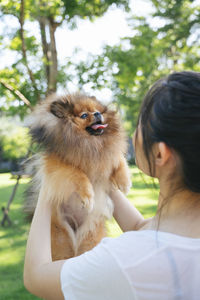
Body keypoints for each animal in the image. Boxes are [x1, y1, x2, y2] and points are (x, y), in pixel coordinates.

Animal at [25, 93, 131, 260]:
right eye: (84, 115)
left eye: (96, 110)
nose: (98, 114)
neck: (89, 142)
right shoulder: (56, 164)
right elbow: (77, 174)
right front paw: (88, 196)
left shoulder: (107, 154)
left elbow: (118, 159)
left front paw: (124, 182)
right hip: (60, 240)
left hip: (90, 237)